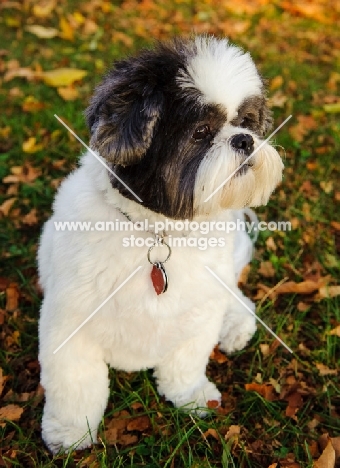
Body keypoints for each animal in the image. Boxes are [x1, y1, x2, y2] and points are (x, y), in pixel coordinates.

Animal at [37, 34, 284, 452]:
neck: (159, 232)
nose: (245, 139)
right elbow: (76, 385)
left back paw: (235, 324)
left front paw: (192, 396)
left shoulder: (198, 315)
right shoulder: (69, 326)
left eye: (246, 123)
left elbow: (185, 363)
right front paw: (70, 433)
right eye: (200, 132)